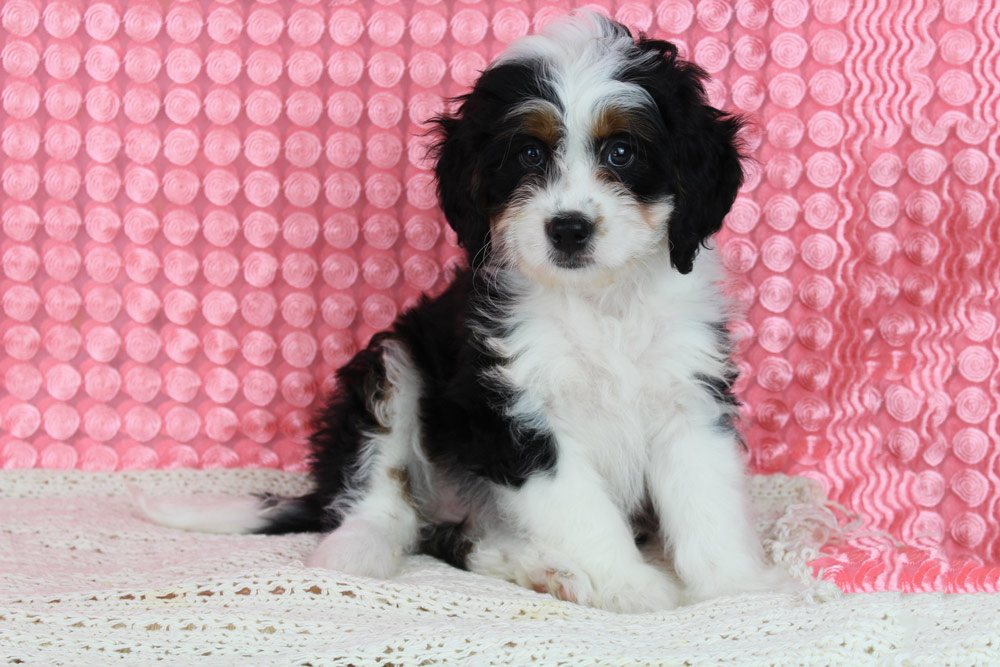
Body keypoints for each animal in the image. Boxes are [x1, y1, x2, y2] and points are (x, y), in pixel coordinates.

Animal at [136, 12, 795, 613]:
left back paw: (541, 569)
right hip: (393, 363)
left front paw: (737, 591)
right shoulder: (512, 410)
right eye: (527, 152)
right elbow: (582, 507)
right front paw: (630, 585)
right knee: (386, 498)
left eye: (622, 151)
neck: (598, 301)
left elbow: (707, 499)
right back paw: (357, 555)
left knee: (458, 539)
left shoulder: (689, 394)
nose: (568, 229)